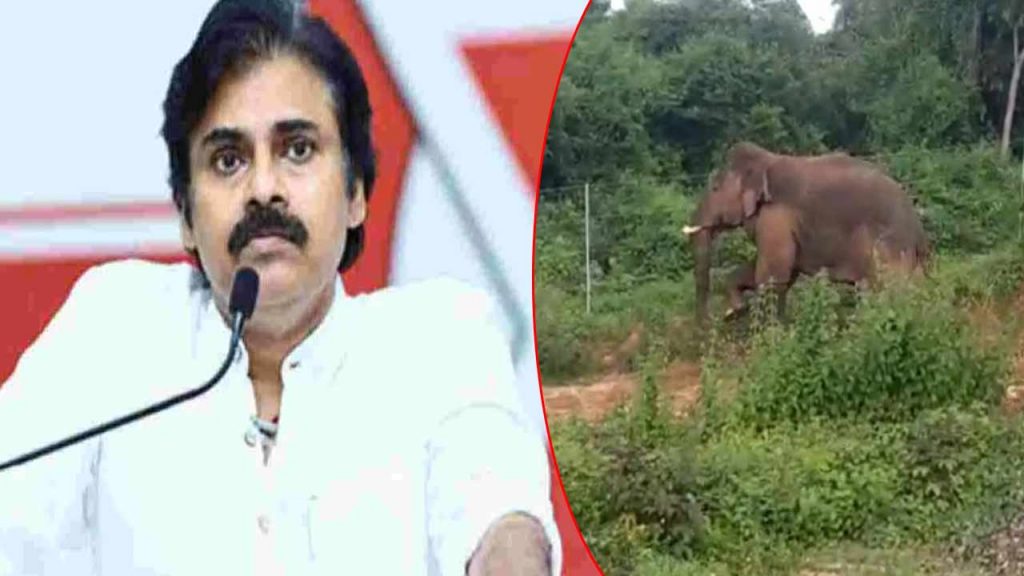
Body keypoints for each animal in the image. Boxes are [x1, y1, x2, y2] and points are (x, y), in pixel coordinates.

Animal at [683, 141, 930, 325]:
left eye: (715, 188)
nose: (708, 323)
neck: (766, 161)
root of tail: (919, 231)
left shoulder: (776, 216)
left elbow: (773, 275)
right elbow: (776, 272)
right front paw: (737, 310)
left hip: (890, 247)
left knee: (888, 289)